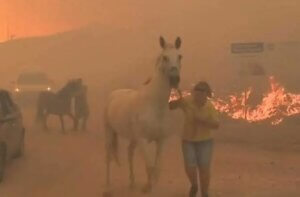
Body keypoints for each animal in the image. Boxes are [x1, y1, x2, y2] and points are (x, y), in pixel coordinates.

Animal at [103, 35, 183, 195]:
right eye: (165, 57)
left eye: (179, 56)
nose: (175, 79)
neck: (154, 105)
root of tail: (113, 94)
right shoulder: (143, 141)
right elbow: (149, 166)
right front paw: (147, 187)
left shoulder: (160, 140)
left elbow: (157, 169)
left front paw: (149, 185)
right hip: (110, 133)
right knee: (109, 156)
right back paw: (108, 185)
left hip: (133, 138)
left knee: (129, 152)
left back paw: (132, 182)